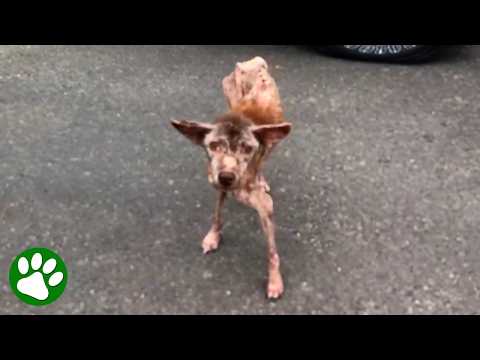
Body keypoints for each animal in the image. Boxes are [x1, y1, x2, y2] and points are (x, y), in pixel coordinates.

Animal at [172, 57, 292, 298]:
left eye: (247, 148)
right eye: (213, 146)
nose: (226, 176)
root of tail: (254, 62)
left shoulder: (266, 208)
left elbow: (272, 250)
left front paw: (274, 280)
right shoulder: (219, 188)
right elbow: (217, 213)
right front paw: (213, 236)